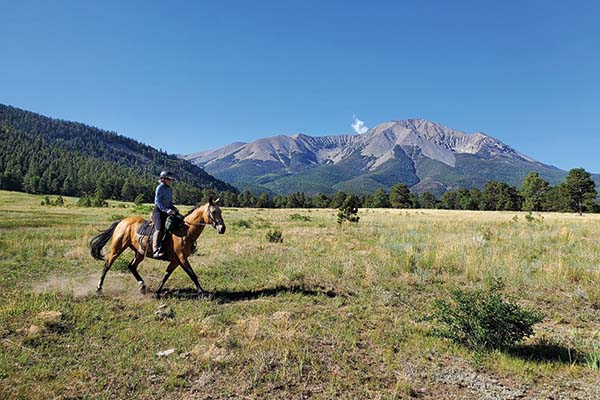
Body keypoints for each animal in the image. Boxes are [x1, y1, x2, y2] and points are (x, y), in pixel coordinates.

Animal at [90, 198, 226, 296]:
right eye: (213, 212)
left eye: (221, 211)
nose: (222, 228)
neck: (185, 230)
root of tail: (122, 221)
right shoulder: (182, 258)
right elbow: (192, 274)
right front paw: (203, 292)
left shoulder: (176, 260)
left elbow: (166, 275)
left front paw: (157, 291)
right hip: (117, 248)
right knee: (107, 265)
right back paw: (98, 289)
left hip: (139, 252)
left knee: (132, 266)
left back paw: (142, 287)